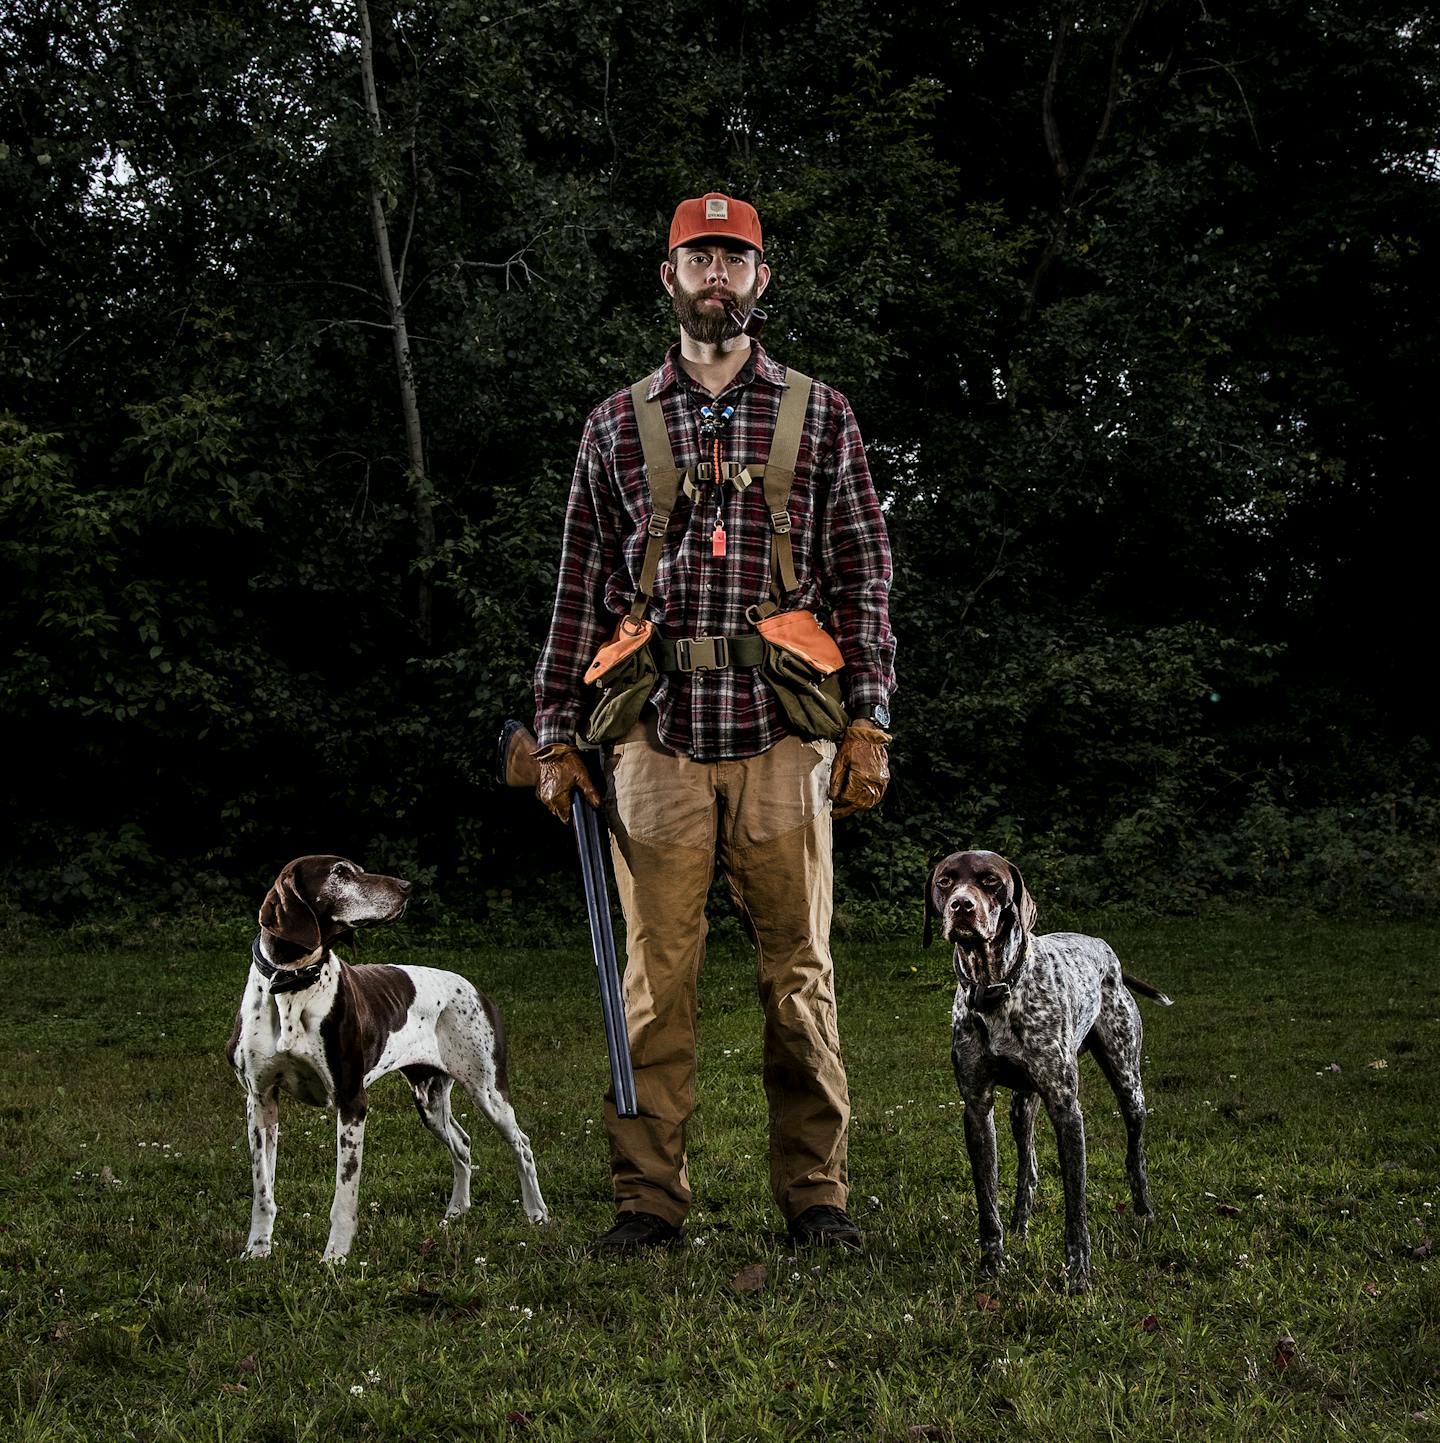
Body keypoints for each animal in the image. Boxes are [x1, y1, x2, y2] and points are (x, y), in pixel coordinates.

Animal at [227, 854, 548, 1264]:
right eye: (340, 872)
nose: (407, 887)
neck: (292, 983)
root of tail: (477, 989)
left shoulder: (352, 1101)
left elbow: (344, 1196)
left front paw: (335, 1257)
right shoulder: (261, 1101)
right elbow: (263, 1190)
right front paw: (258, 1249)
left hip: (488, 1090)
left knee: (521, 1143)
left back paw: (536, 1212)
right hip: (429, 1100)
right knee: (462, 1143)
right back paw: (457, 1211)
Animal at [923, 848, 1171, 1292]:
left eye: (990, 881)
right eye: (945, 881)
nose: (961, 907)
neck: (996, 989)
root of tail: (1104, 947)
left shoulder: (1065, 1108)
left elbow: (1076, 1208)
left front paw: (1078, 1276)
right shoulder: (977, 1108)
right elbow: (988, 1203)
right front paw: (992, 1267)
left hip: (1128, 1083)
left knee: (1135, 1150)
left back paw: (1143, 1209)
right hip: (1022, 1107)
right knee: (1029, 1166)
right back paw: (1020, 1223)